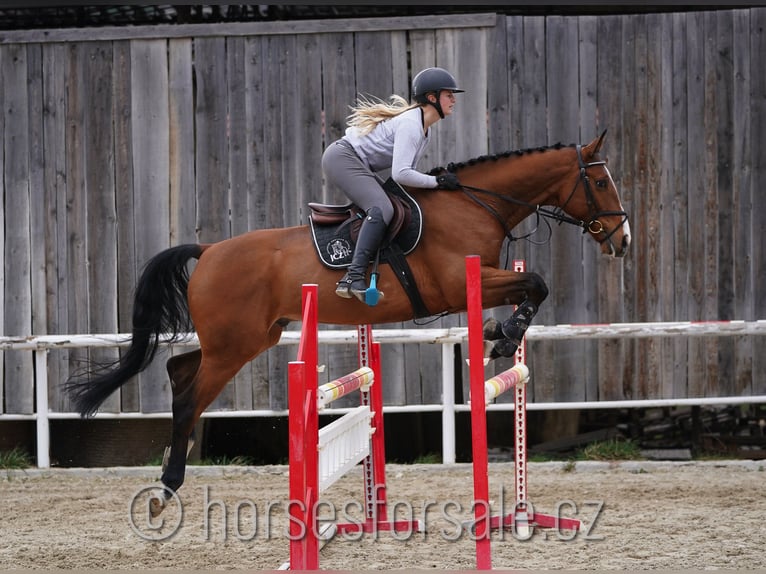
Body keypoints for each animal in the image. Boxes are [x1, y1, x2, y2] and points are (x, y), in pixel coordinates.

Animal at [66, 132, 632, 516]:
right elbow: (537, 282)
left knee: (180, 370)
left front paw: (500, 334)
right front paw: (502, 338)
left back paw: (170, 464)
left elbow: (532, 287)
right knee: (188, 397)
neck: (475, 204)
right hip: (234, 346)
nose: (621, 239)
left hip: (251, 337)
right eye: (601, 180)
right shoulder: (461, 285)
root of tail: (208, 251)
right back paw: (166, 488)